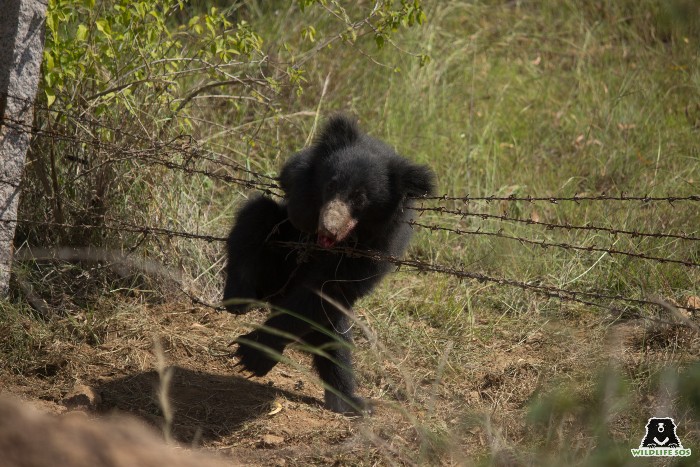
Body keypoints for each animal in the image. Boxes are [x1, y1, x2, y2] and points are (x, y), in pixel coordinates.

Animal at [224, 115, 434, 414]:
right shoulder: (307, 169)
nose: (328, 228)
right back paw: (239, 297)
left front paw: (254, 353)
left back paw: (349, 401)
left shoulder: (378, 247)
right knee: (256, 215)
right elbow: (292, 172)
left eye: (360, 198)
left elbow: (327, 289)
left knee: (333, 338)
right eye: (331, 185)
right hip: (273, 265)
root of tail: (276, 297)